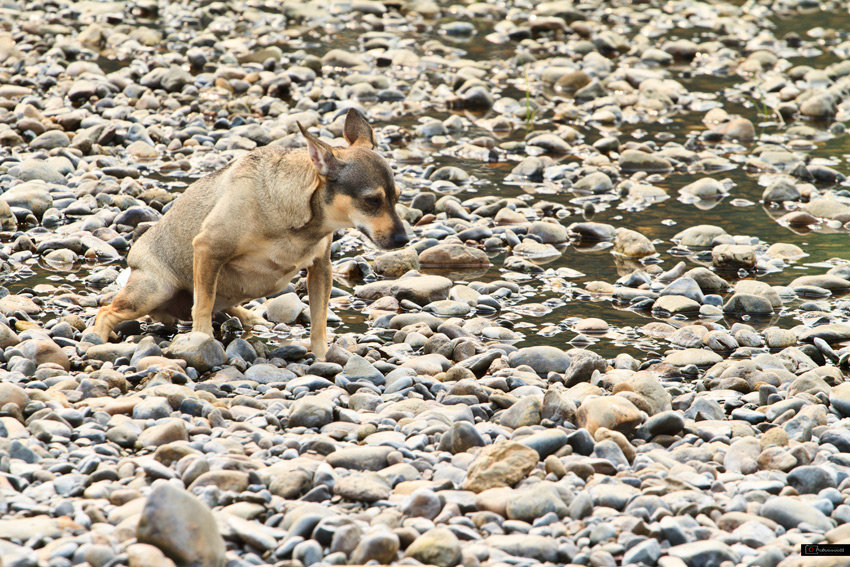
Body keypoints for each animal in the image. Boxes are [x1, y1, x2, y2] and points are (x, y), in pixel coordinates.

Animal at [92, 107, 408, 360]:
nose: (404, 240)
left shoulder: (321, 269)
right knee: (108, 312)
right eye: (372, 201)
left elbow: (319, 322)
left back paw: (250, 316)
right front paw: (202, 341)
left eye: (397, 198)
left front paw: (321, 357)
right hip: (154, 290)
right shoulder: (208, 249)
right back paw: (97, 341)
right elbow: (202, 307)